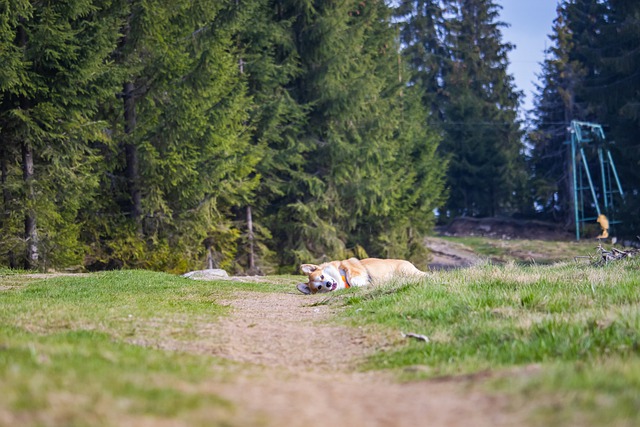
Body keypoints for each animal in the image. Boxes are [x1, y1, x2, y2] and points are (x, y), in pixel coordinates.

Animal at [298, 258, 428, 294]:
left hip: (405, 270)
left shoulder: (353, 271)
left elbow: (354, 280)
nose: (329, 284)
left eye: (321, 276)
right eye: (319, 287)